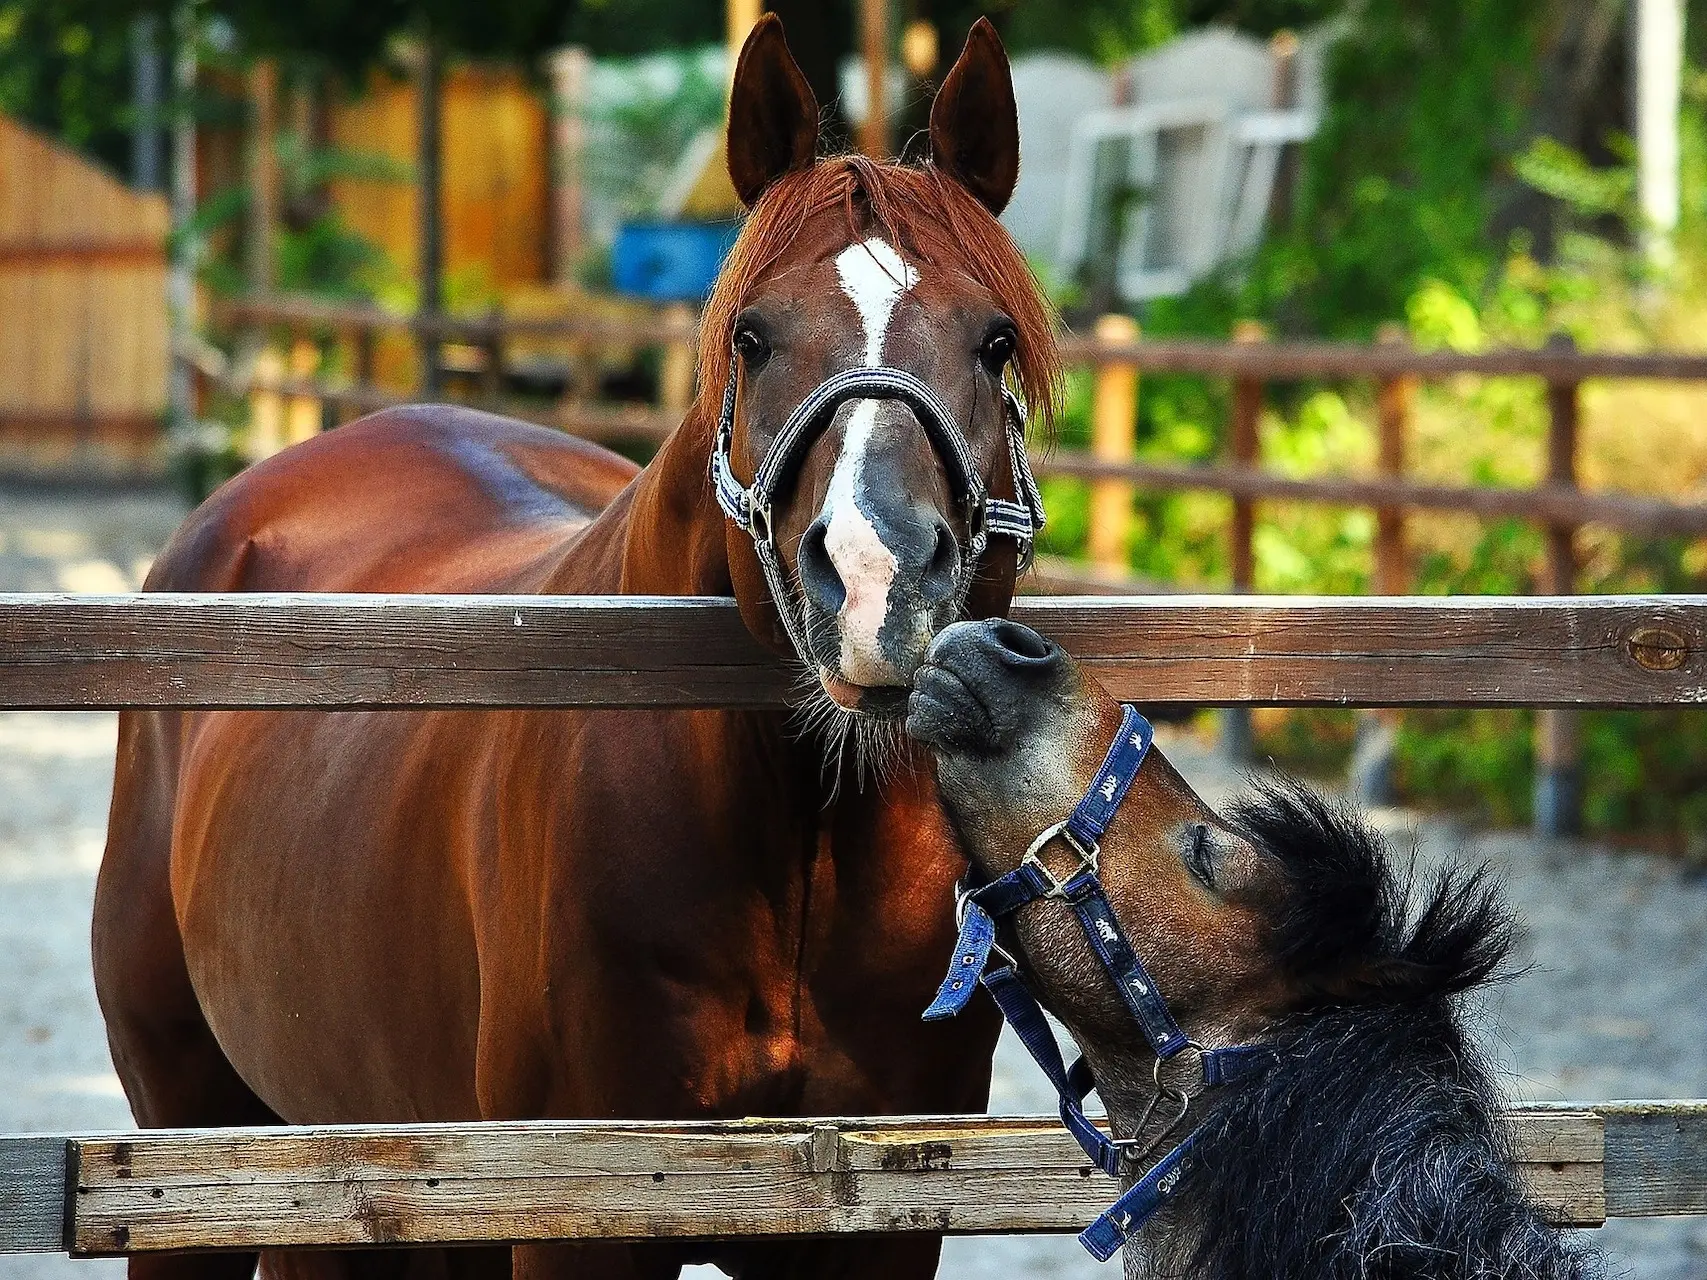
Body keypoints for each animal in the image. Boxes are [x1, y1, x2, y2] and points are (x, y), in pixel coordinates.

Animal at [96, 17, 1051, 1280]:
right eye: (751, 336)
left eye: (995, 343)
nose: (877, 578)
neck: (800, 841)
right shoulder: (579, 1216)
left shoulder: (876, 1230)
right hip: (189, 1147)